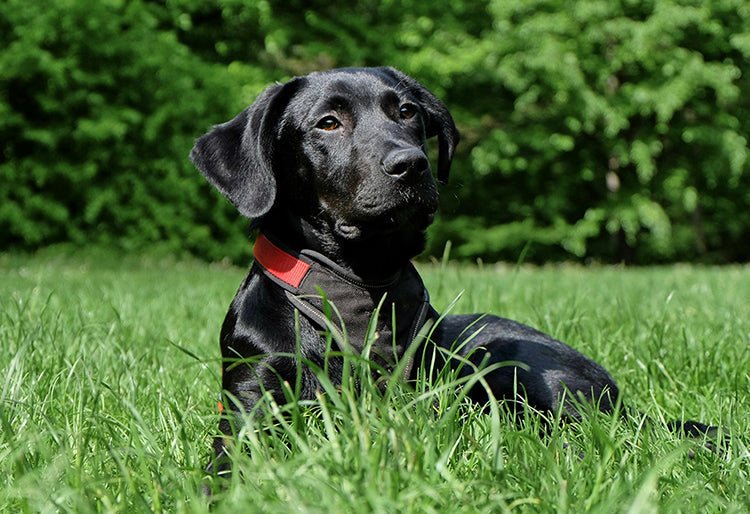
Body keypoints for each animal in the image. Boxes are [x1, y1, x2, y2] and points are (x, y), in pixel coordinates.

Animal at [191, 66, 720, 470]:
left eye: (407, 112)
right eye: (328, 122)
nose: (411, 164)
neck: (357, 285)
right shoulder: (251, 398)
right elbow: (231, 460)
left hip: (511, 362)